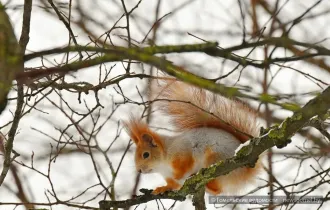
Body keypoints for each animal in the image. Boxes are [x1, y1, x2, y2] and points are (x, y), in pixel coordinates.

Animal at [125, 79, 262, 195]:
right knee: (218, 191)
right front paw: (162, 188)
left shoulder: (183, 151)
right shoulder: (169, 177)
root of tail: (246, 170)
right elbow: (173, 185)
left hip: (215, 158)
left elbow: (186, 164)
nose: (139, 170)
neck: (162, 164)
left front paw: (179, 175)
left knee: (218, 187)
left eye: (146, 154)